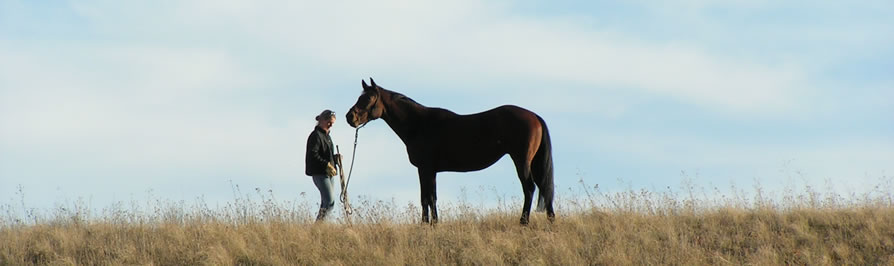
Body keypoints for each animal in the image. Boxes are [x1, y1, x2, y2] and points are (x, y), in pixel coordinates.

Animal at [346, 78, 556, 224]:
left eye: (369, 98)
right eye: (360, 97)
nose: (350, 117)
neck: (418, 124)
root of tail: (534, 116)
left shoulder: (425, 169)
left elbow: (427, 198)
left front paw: (427, 225)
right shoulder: (430, 171)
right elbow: (431, 197)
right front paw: (432, 223)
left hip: (521, 161)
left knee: (529, 188)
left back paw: (523, 222)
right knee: (544, 187)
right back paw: (550, 220)